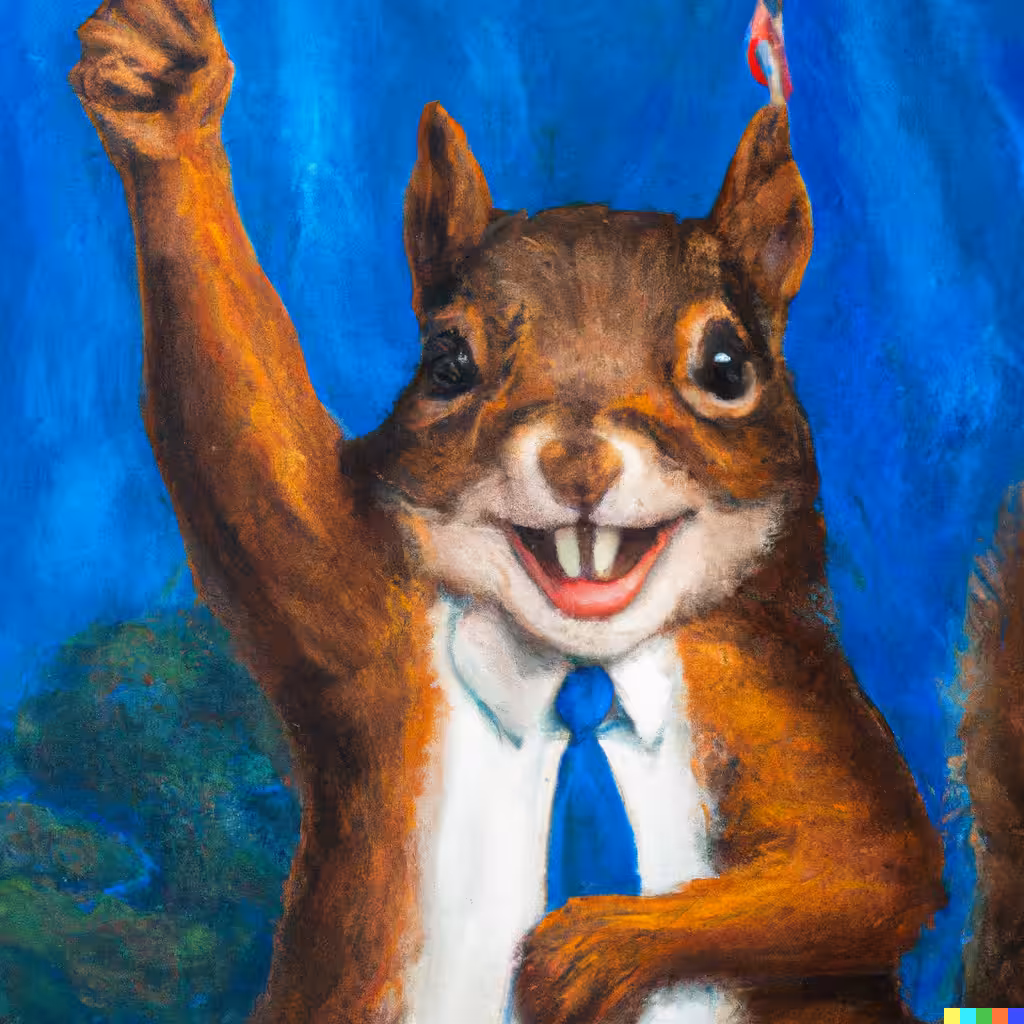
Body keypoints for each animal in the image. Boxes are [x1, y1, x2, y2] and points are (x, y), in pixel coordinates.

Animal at [67, 1, 1008, 1021]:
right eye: (446, 364)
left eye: (728, 367)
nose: (579, 461)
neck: (581, 671)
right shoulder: (366, 622)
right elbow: (256, 460)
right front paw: (164, 92)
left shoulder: (774, 689)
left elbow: (867, 863)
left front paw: (591, 942)